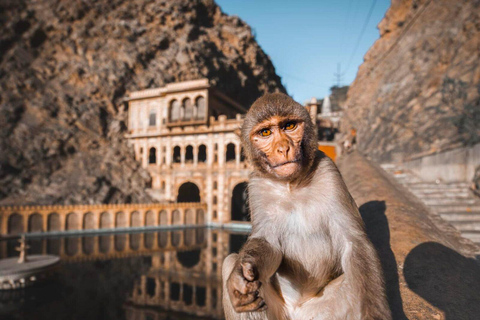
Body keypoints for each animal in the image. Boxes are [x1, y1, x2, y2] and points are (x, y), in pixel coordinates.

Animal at [223, 93, 392, 320]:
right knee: (228, 262)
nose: (283, 148)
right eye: (265, 132)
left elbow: (354, 242)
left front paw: (375, 313)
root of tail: (297, 310)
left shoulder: (329, 171)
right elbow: (268, 243)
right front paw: (240, 277)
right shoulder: (257, 186)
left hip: (320, 311)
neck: (292, 185)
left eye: (289, 126)